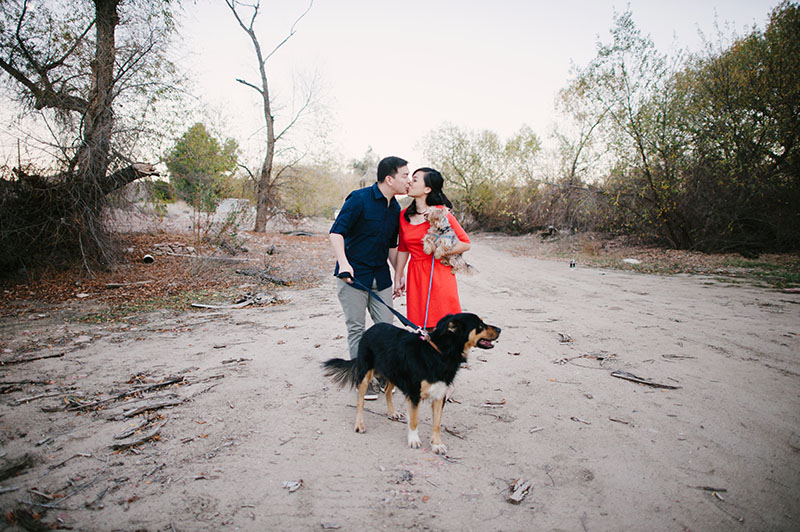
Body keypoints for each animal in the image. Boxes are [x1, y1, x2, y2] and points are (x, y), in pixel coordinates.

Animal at [320, 314, 496, 456]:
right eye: (480, 326)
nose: (499, 329)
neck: (438, 353)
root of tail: (371, 329)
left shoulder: (439, 396)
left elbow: (437, 424)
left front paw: (436, 444)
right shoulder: (414, 394)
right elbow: (414, 421)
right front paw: (413, 440)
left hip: (393, 372)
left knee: (387, 391)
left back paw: (392, 412)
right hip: (365, 375)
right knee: (360, 401)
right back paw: (359, 424)